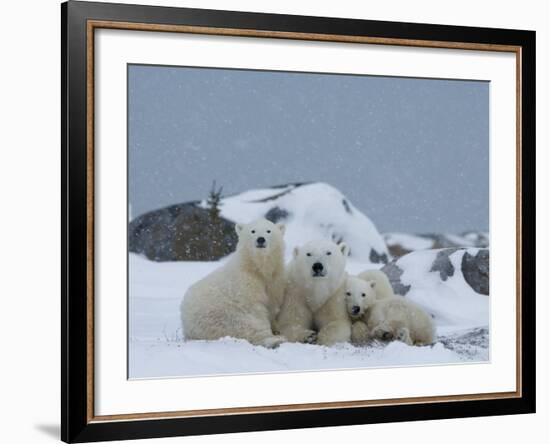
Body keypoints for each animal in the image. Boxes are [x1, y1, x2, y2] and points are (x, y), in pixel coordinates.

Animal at [183, 220, 292, 348]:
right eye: (253, 231)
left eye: (268, 231)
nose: (260, 239)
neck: (256, 269)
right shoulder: (245, 284)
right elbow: (256, 309)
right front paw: (273, 334)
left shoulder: (274, 281)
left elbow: (272, 304)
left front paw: (276, 328)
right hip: (219, 317)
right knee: (244, 325)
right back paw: (275, 340)